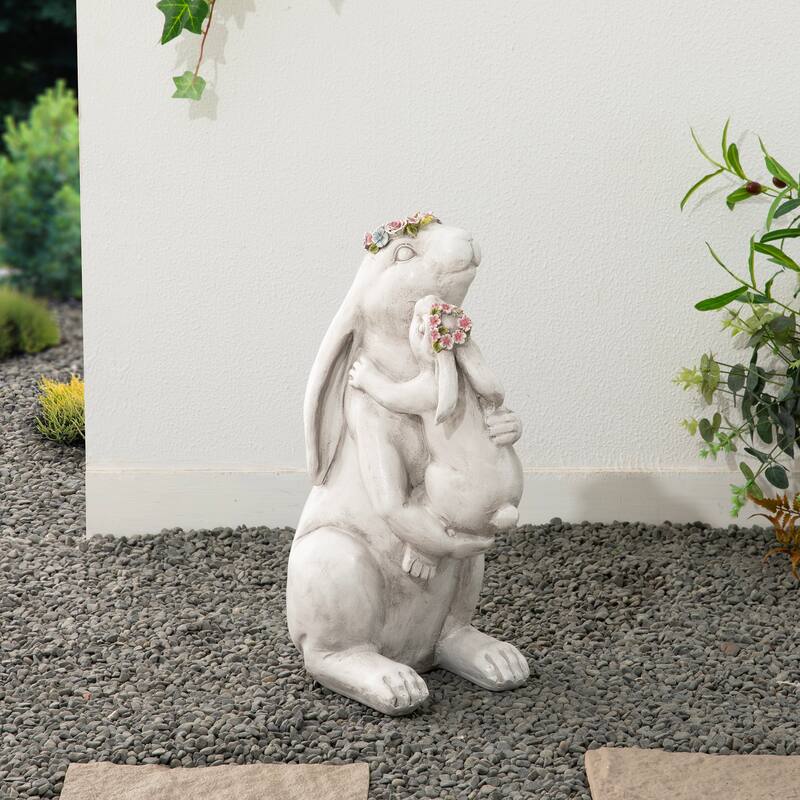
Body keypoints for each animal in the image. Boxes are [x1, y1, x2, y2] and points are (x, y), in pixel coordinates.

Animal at [347, 294, 523, 577]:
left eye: (421, 329)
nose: (428, 300)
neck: (451, 369)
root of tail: (501, 509)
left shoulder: (423, 390)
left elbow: (390, 392)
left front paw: (361, 372)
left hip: (438, 481)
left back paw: (421, 560)